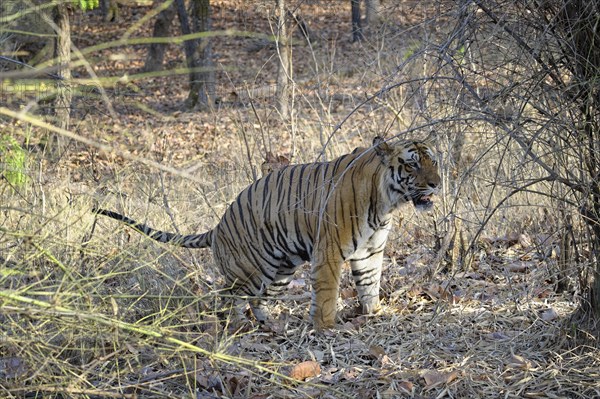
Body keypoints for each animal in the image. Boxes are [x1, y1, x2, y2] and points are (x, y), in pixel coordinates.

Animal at [94, 138, 440, 332]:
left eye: (433, 161)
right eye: (412, 165)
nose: (437, 183)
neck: (386, 202)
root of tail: (217, 226)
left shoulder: (370, 251)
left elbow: (370, 285)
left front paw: (375, 313)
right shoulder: (329, 251)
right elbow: (328, 293)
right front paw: (327, 328)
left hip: (280, 271)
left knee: (256, 300)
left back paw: (271, 324)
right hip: (249, 271)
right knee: (227, 297)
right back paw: (231, 327)